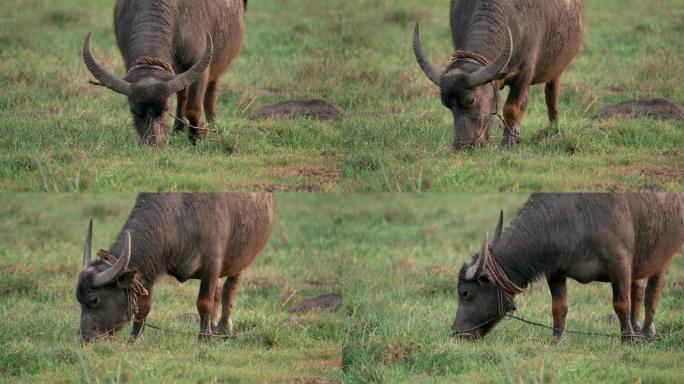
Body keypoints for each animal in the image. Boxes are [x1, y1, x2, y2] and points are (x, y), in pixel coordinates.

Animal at [76, 195, 274, 342]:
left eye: (94, 300)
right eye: (78, 300)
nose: (83, 338)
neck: (179, 218)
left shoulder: (212, 265)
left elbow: (204, 302)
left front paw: (204, 339)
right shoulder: (149, 271)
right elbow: (143, 307)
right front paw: (134, 339)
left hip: (241, 261)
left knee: (229, 290)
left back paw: (224, 329)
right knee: (217, 293)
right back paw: (213, 327)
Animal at [83, 0, 247, 147]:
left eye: (165, 110)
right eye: (134, 111)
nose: (154, 144)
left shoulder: (200, 67)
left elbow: (193, 109)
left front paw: (194, 139)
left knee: (211, 91)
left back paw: (212, 126)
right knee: (182, 95)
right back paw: (177, 129)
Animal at [412, 0, 584, 148]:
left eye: (471, 100)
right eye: (446, 104)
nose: (462, 145)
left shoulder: (525, 72)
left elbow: (512, 108)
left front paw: (509, 142)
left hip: (556, 70)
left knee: (551, 97)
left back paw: (553, 129)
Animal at [454, 195, 684, 342]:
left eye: (465, 293)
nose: (455, 332)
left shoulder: (619, 264)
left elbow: (621, 303)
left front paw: (628, 339)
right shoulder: (555, 272)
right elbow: (559, 306)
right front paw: (557, 339)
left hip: (662, 259)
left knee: (652, 294)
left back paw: (646, 332)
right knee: (638, 290)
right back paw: (636, 327)